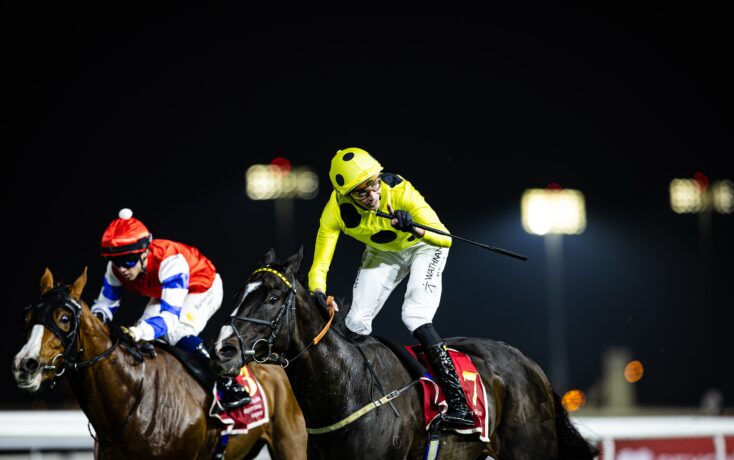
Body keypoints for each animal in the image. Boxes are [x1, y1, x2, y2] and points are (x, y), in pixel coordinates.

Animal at [211, 248, 599, 459]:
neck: (349, 388)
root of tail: (530, 364)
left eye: (273, 298)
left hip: (531, 449)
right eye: (238, 295)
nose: (223, 350)